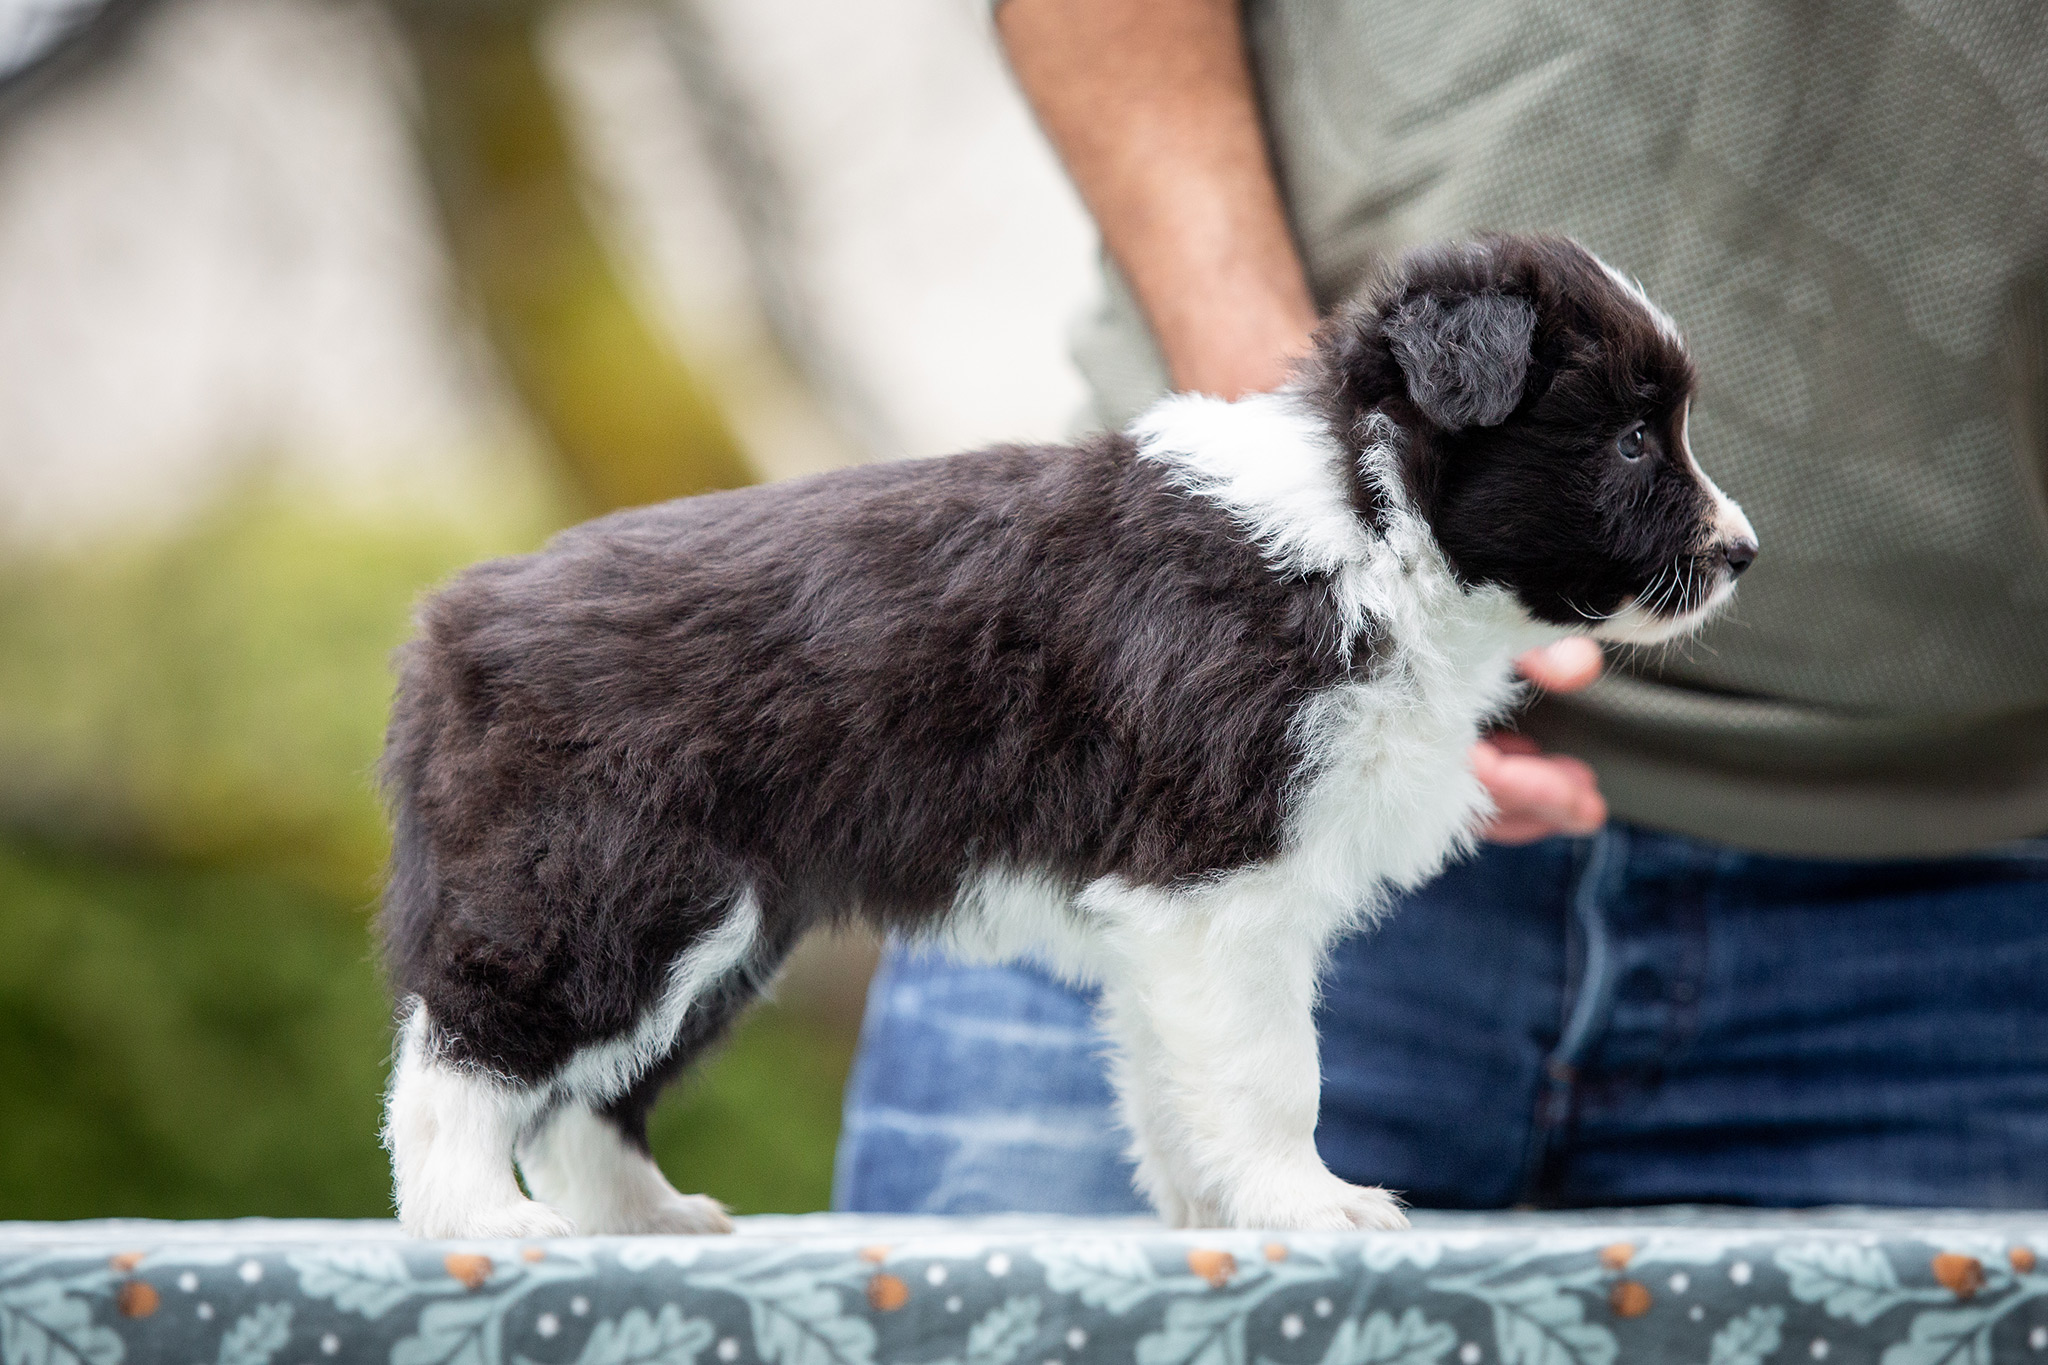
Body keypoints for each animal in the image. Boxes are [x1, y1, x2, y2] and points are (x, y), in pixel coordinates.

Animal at [385, 232, 1761, 1236]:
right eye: (1630, 440)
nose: (1742, 553)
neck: (1366, 527)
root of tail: (457, 619)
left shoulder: (1169, 914)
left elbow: (1171, 1071)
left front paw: (1213, 1211)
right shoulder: (1218, 878)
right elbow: (1273, 1070)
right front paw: (1309, 1205)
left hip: (721, 926)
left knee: (591, 1099)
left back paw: (648, 1221)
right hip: (609, 884)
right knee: (468, 1054)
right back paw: (481, 1226)